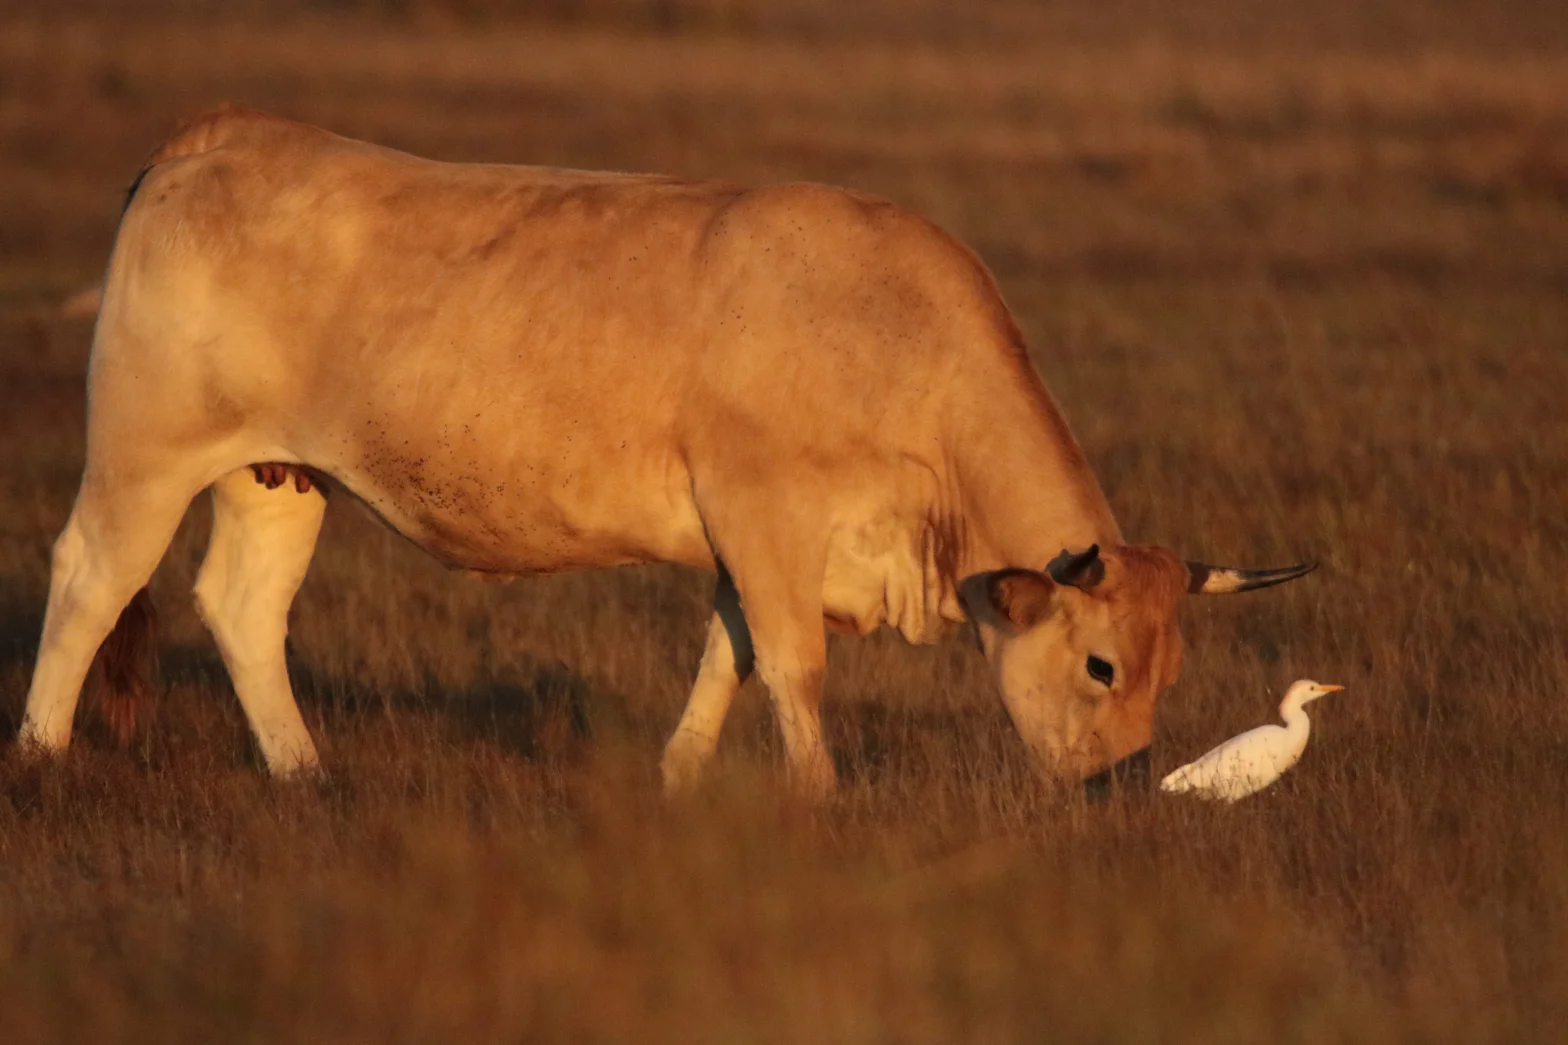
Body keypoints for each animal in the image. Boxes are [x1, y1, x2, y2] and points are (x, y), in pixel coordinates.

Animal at [19, 106, 1314, 798]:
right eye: (1099, 664)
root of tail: (215, 138)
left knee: (244, 605)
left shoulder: (744, 544)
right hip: (146, 453)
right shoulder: (764, 514)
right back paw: (38, 751)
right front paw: (816, 794)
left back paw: (303, 770)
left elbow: (723, 659)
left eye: (1168, 673)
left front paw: (676, 778)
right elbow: (790, 664)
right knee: (91, 581)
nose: (1120, 781)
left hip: (278, 475)